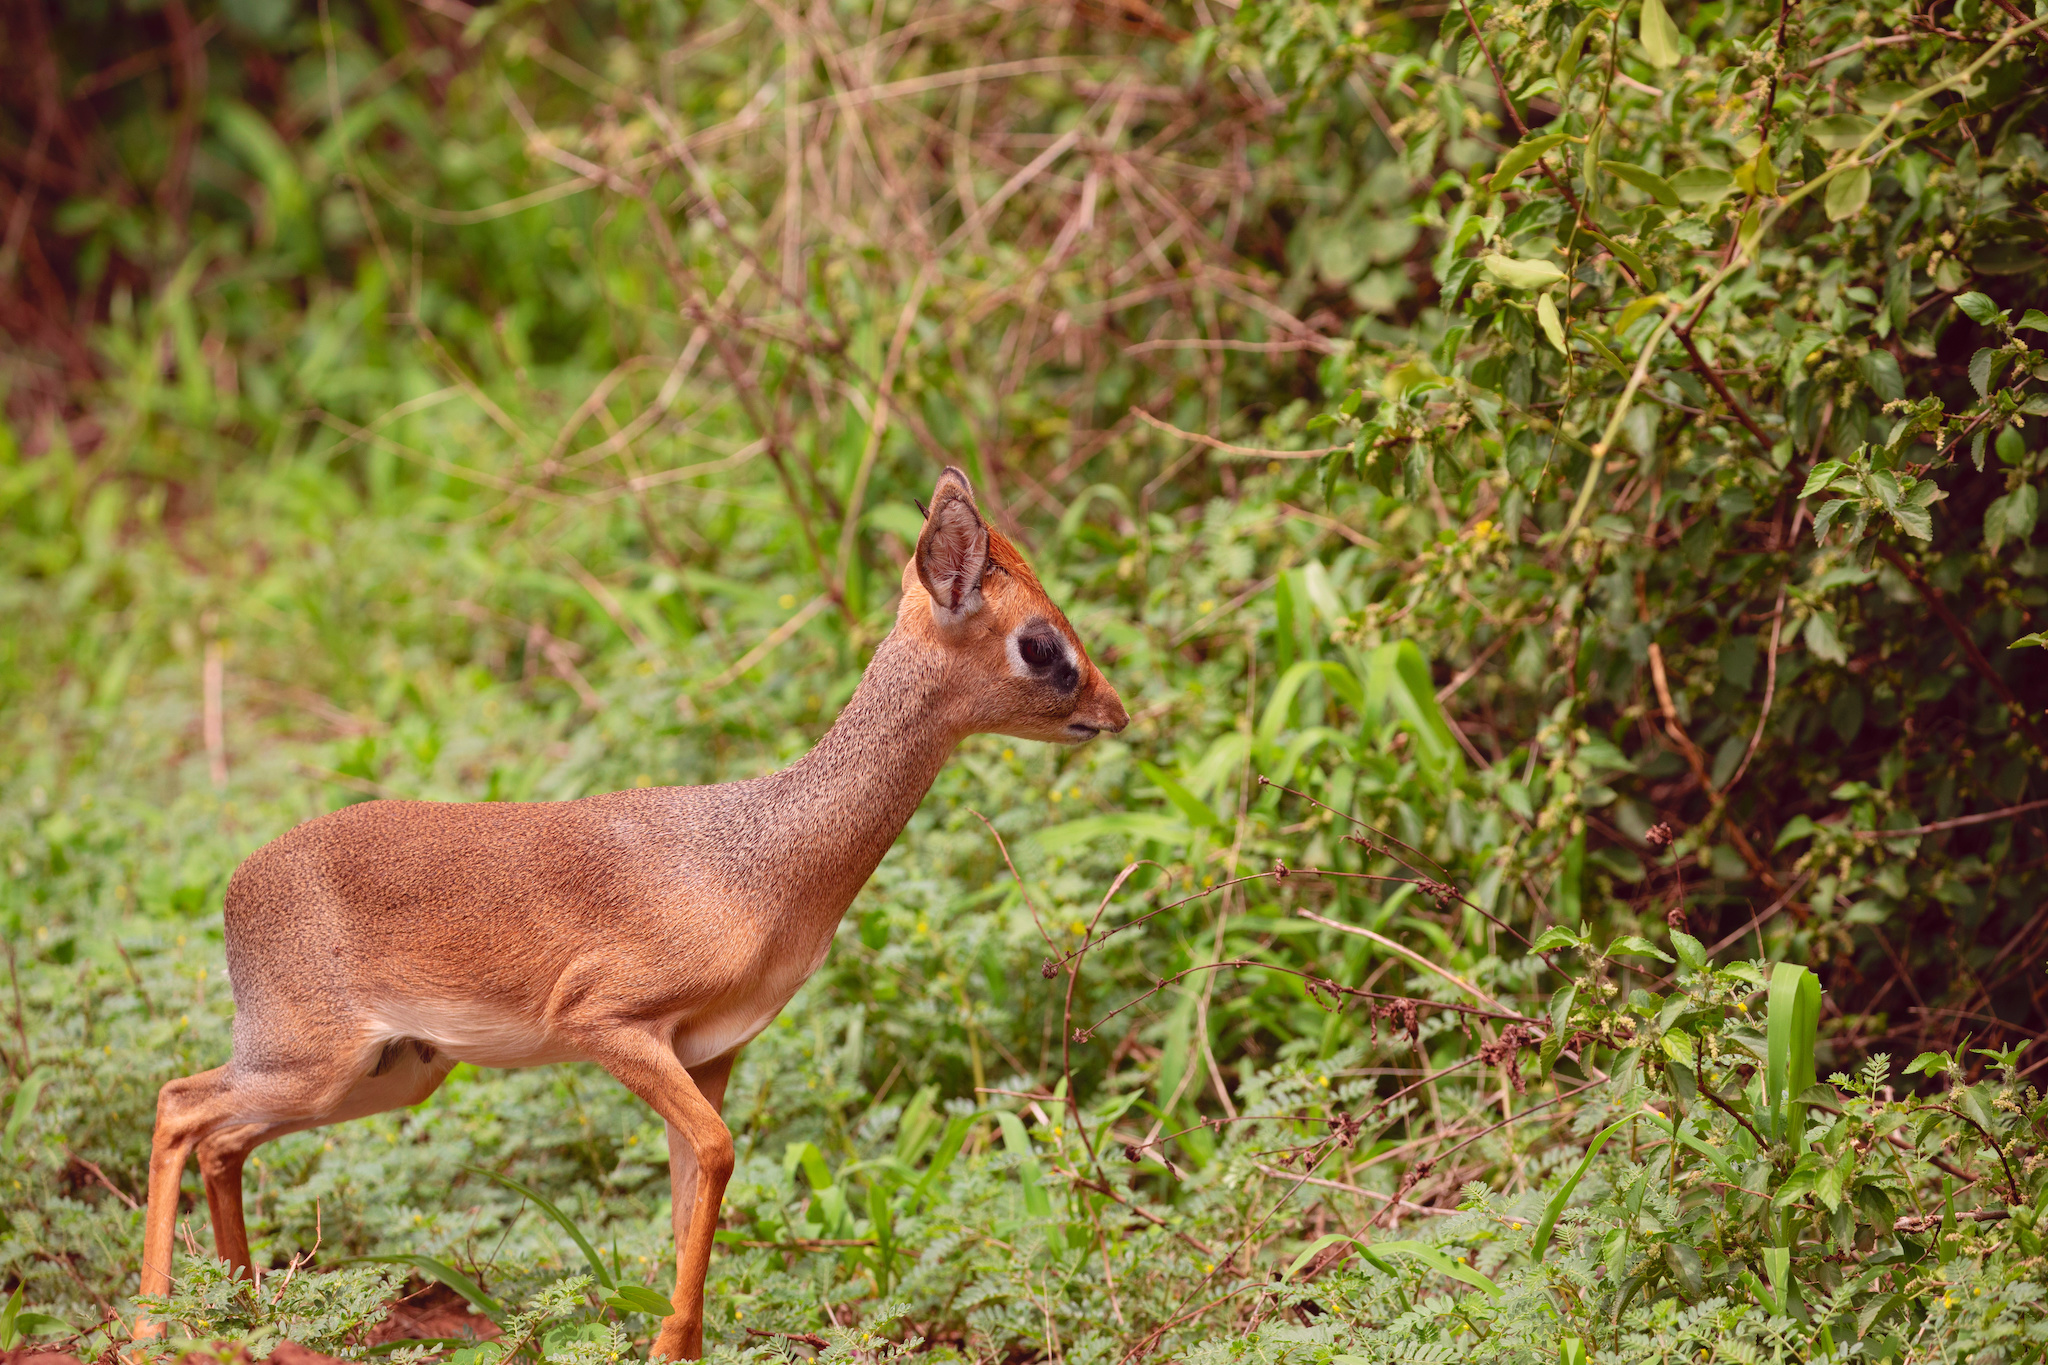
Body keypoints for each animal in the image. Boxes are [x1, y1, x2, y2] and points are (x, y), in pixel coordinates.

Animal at [140, 470, 1138, 1358]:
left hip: (387, 1072)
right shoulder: (608, 1021)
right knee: (180, 1104)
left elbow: (694, 1185)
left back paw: (237, 1316)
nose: (1116, 713)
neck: (760, 859)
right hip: (317, 1061)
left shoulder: (710, 1053)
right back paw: (154, 1327)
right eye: (1040, 643)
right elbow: (720, 1155)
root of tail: (239, 886)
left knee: (222, 1140)